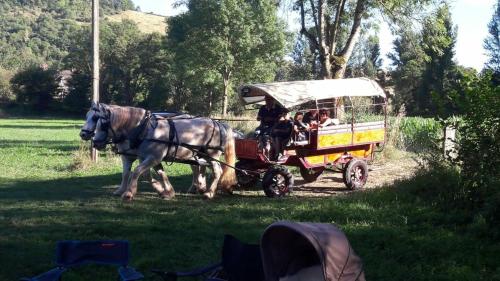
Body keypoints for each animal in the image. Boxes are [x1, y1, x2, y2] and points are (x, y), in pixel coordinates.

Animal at [85, 103, 236, 199]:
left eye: (98, 120)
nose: (94, 141)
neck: (143, 129)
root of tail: (217, 123)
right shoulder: (141, 157)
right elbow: (147, 174)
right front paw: (167, 191)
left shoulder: (153, 157)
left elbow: (137, 171)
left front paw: (129, 193)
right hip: (197, 155)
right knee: (199, 168)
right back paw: (199, 187)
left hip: (212, 154)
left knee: (218, 171)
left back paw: (209, 193)